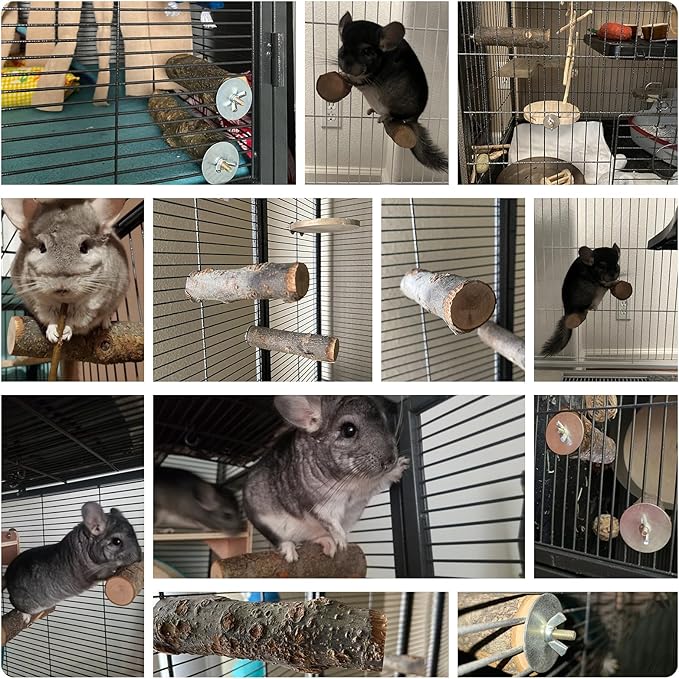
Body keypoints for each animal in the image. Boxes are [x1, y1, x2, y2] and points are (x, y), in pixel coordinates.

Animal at [1, 198, 129, 343]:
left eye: (84, 247)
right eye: (42, 247)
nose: (61, 282)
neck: (65, 302)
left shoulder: (93, 304)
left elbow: (75, 321)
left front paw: (66, 331)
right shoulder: (39, 304)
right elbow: (50, 319)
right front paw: (52, 334)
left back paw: (106, 323)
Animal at [3, 502, 141, 619]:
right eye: (116, 541)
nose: (140, 557)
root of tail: (7, 575)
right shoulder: (93, 573)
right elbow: (107, 575)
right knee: (15, 603)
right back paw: (25, 616)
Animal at [243, 395, 409, 563]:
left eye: (384, 420)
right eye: (348, 430)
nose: (391, 460)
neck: (352, 481)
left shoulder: (365, 490)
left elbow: (380, 481)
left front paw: (401, 466)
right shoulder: (319, 503)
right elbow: (331, 522)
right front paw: (343, 542)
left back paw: (328, 543)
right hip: (267, 525)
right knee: (280, 540)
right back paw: (290, 551)